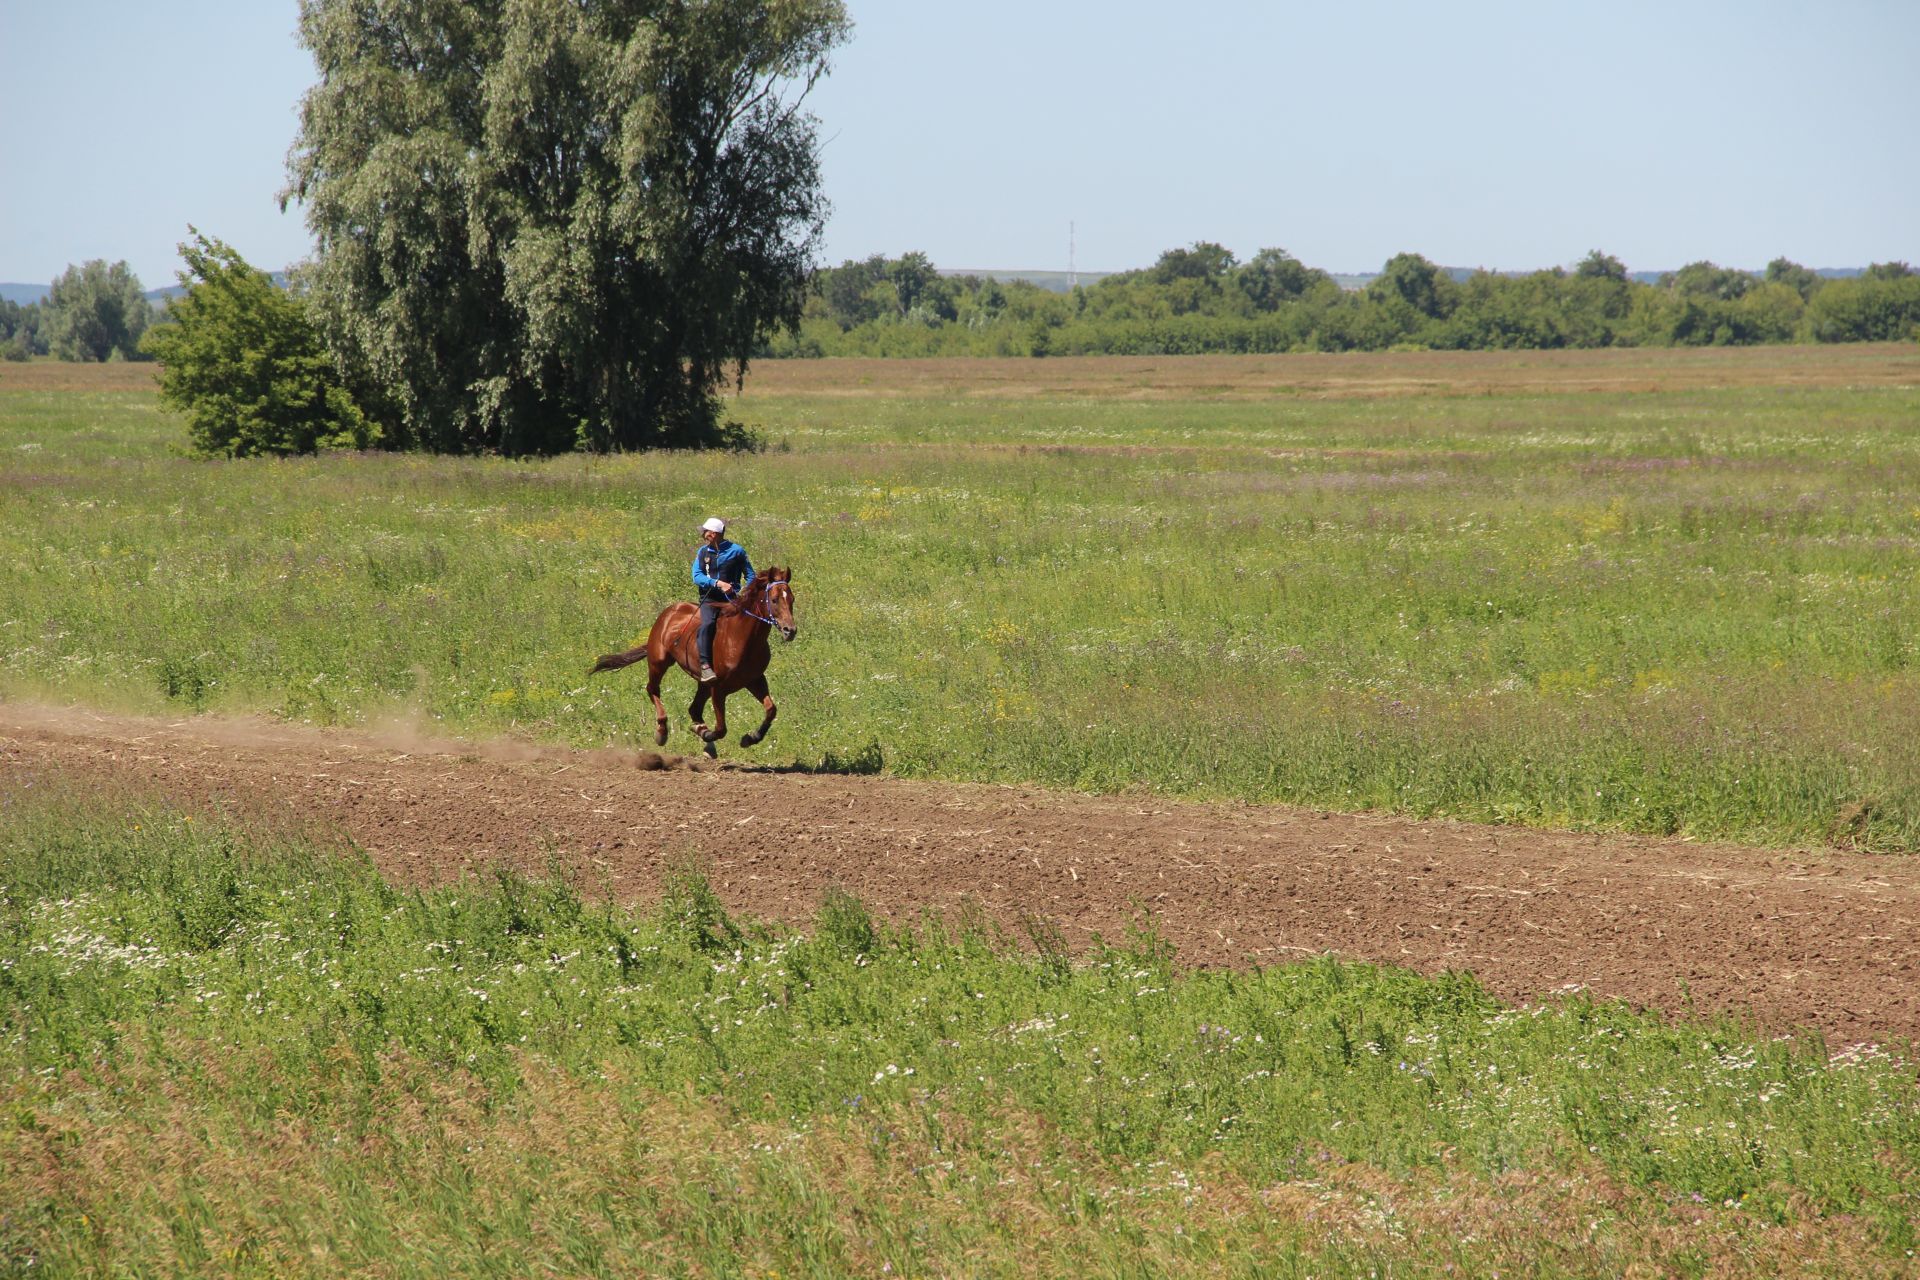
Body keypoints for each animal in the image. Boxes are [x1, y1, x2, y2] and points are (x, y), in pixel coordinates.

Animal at [583, 564, 794, 756]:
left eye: (792, 599)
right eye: (774, 600)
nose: (790, 630)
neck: (741, 638)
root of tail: (670, 611)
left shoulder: (754, 679)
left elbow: (771, 709)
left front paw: (750, 738)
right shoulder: (718, 688)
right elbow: (721, 729)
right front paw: (703, 732)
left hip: (702, 683)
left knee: (694, 709)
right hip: (659, 662)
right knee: (652, 689)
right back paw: (662, 732)